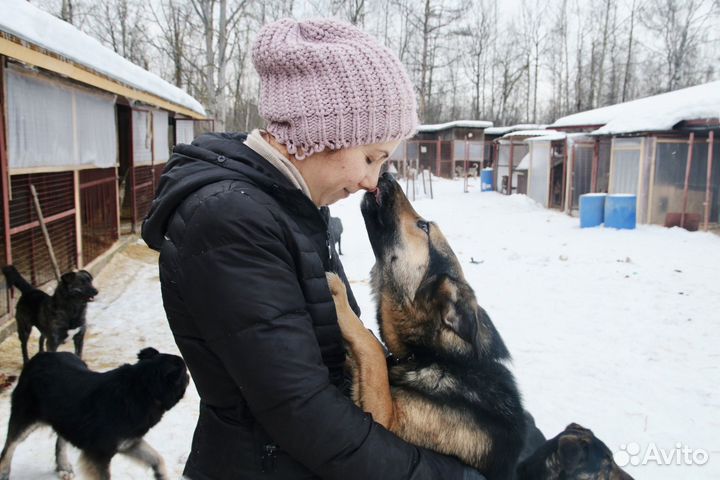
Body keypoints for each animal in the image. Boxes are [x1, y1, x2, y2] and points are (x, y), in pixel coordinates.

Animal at [0, 348, 188, 480]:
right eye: (185, 372)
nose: (188, 374)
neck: (141, 390)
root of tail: (41, 355)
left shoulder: (129, 443)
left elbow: (157, 459)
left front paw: (161, 475)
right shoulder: (98, 455)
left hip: (65, 419)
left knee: (60, 439)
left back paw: (63, 466)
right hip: (25, 418)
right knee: (9, 447)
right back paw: (4, 472)